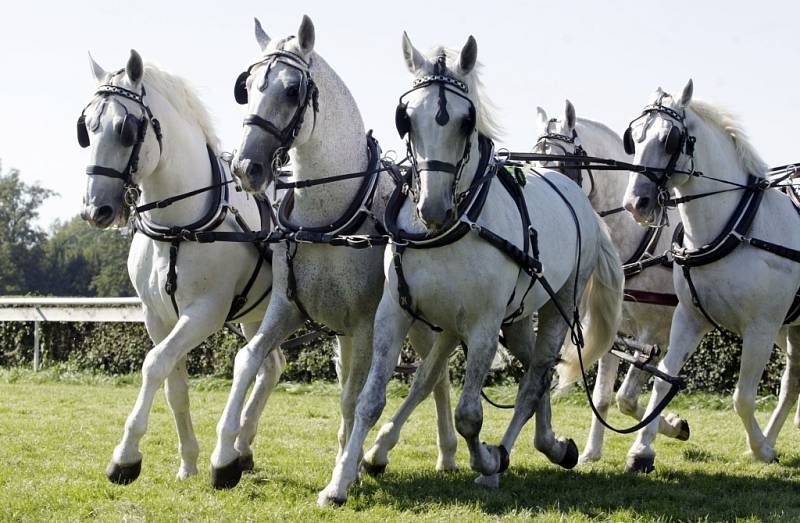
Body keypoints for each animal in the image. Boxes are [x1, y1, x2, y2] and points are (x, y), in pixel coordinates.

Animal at [78, 51, 282, 486]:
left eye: (126, 128)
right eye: (87, 128)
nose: (95, 209)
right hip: (258, 314)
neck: (178, 227)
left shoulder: (204, 312)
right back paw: (241, 449)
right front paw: (188, 461)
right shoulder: (157, 316)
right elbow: (174, 385)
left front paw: (125, 456)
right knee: (270, 366)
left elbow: (154, 364)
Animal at [208, 17, 456, 492]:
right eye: (246, 86)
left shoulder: (363, 326)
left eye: (292, 90)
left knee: (434, 376)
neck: (326, 219)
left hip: (410, 324)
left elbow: (353, 397)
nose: (247, 168)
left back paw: (440, 452)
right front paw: (224, 455)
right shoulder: (287, 309)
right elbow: (248, 361)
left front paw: (346, 468)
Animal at [318, 33, 624, 508]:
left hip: (556, 305)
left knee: (535, 379)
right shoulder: (396, 312)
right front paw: (341, 480)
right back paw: (549, 443)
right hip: (511, 320)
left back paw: (509, 459)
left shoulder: (482, 325)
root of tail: (581, 203)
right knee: (526, 369)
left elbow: (468, 416)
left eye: (466, 121)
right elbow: (372, 398)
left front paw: (487, 459)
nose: (433, 207)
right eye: (406, 118)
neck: (450, 227)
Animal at [532, 102, 688, 462]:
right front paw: (592, 452)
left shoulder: (656, 334)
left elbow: (628, 398)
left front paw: (656, 436)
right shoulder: (616, 328)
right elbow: (605, 396)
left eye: (561, 164)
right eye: (531, 160)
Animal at [624, 80, 800, 472]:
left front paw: (760, 449)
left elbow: (742, 397)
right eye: (634, 138)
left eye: (670, 139)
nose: (635, 204)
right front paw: (641, 450)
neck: (735, 227)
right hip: (793, 329)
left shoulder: (761, 328)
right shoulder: (689, 317)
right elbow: (663, 381)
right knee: (792, 381)